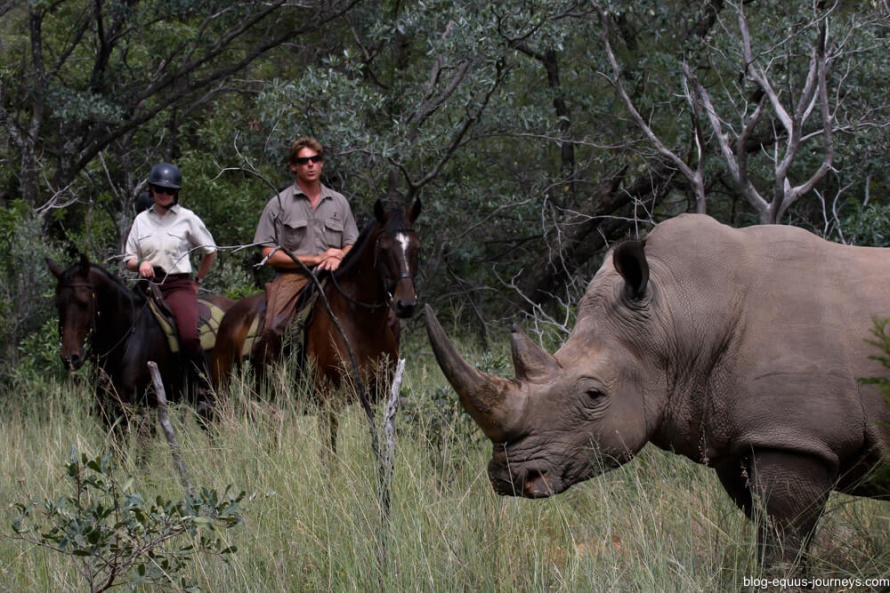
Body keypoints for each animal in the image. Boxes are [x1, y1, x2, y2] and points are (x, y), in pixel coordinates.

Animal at [46, 254, 234, 426]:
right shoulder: (111, 414)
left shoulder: (143, 413)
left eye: (84, 302)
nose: (70, 358)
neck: (126, 341)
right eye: (57, 304)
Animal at [214, 199, 424, 448]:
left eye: (417, 248)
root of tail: (230, 315)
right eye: (383, 249)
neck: (360, 323)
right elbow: (329, 452)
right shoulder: (328, 401)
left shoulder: (375, 397)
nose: (406, 304)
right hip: (224, 392)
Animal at [424, 213, 888, 568]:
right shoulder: (738, 437)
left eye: (594, 396)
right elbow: (774, 533)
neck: (679, 316)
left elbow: (782, 547)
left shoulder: (796, 438)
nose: (511, 478)